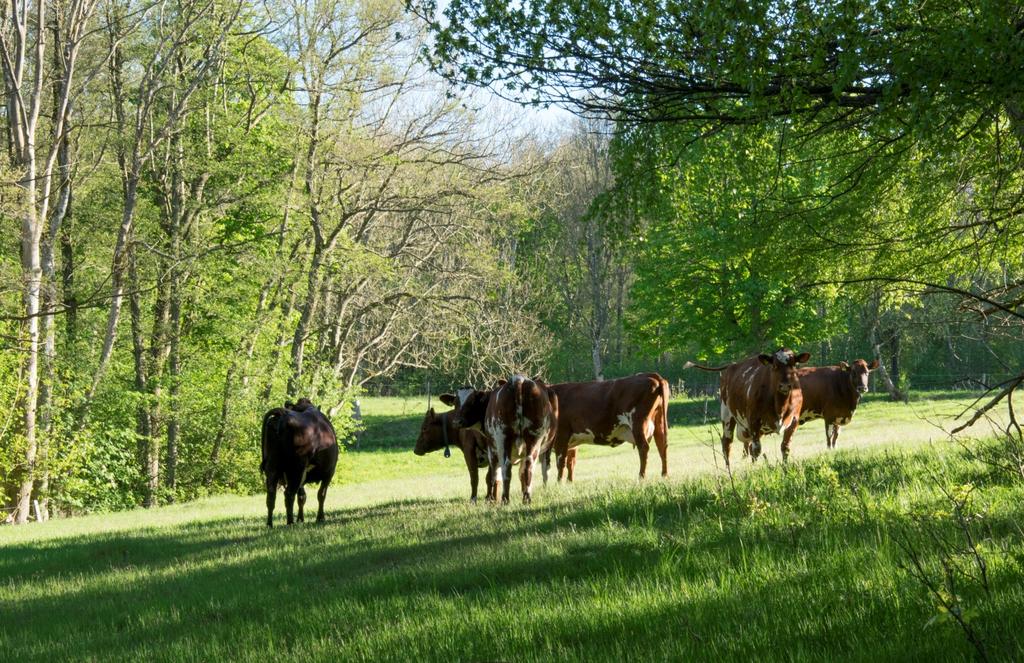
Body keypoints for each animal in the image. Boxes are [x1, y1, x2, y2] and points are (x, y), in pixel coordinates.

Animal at [258, 399, 337, 528]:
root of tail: (283, 414)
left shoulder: (303, 479)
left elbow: (302, 497)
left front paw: (301, 519)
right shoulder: (329, 472)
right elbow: (321, 494)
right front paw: (320, 518)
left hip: (272, 467)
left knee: (271, 495)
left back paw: (270, 524)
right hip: (296, 469)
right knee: (289, 494)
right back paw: (290, 522)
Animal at [481, 377, 557, 506]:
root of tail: (519, 380)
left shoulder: (492, 449)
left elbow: (492, 475)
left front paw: (490, 499)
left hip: (502, 437)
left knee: (506, 467)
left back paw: (505, 499)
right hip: (534, 437)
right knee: (528, 466)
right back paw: (526, 498)